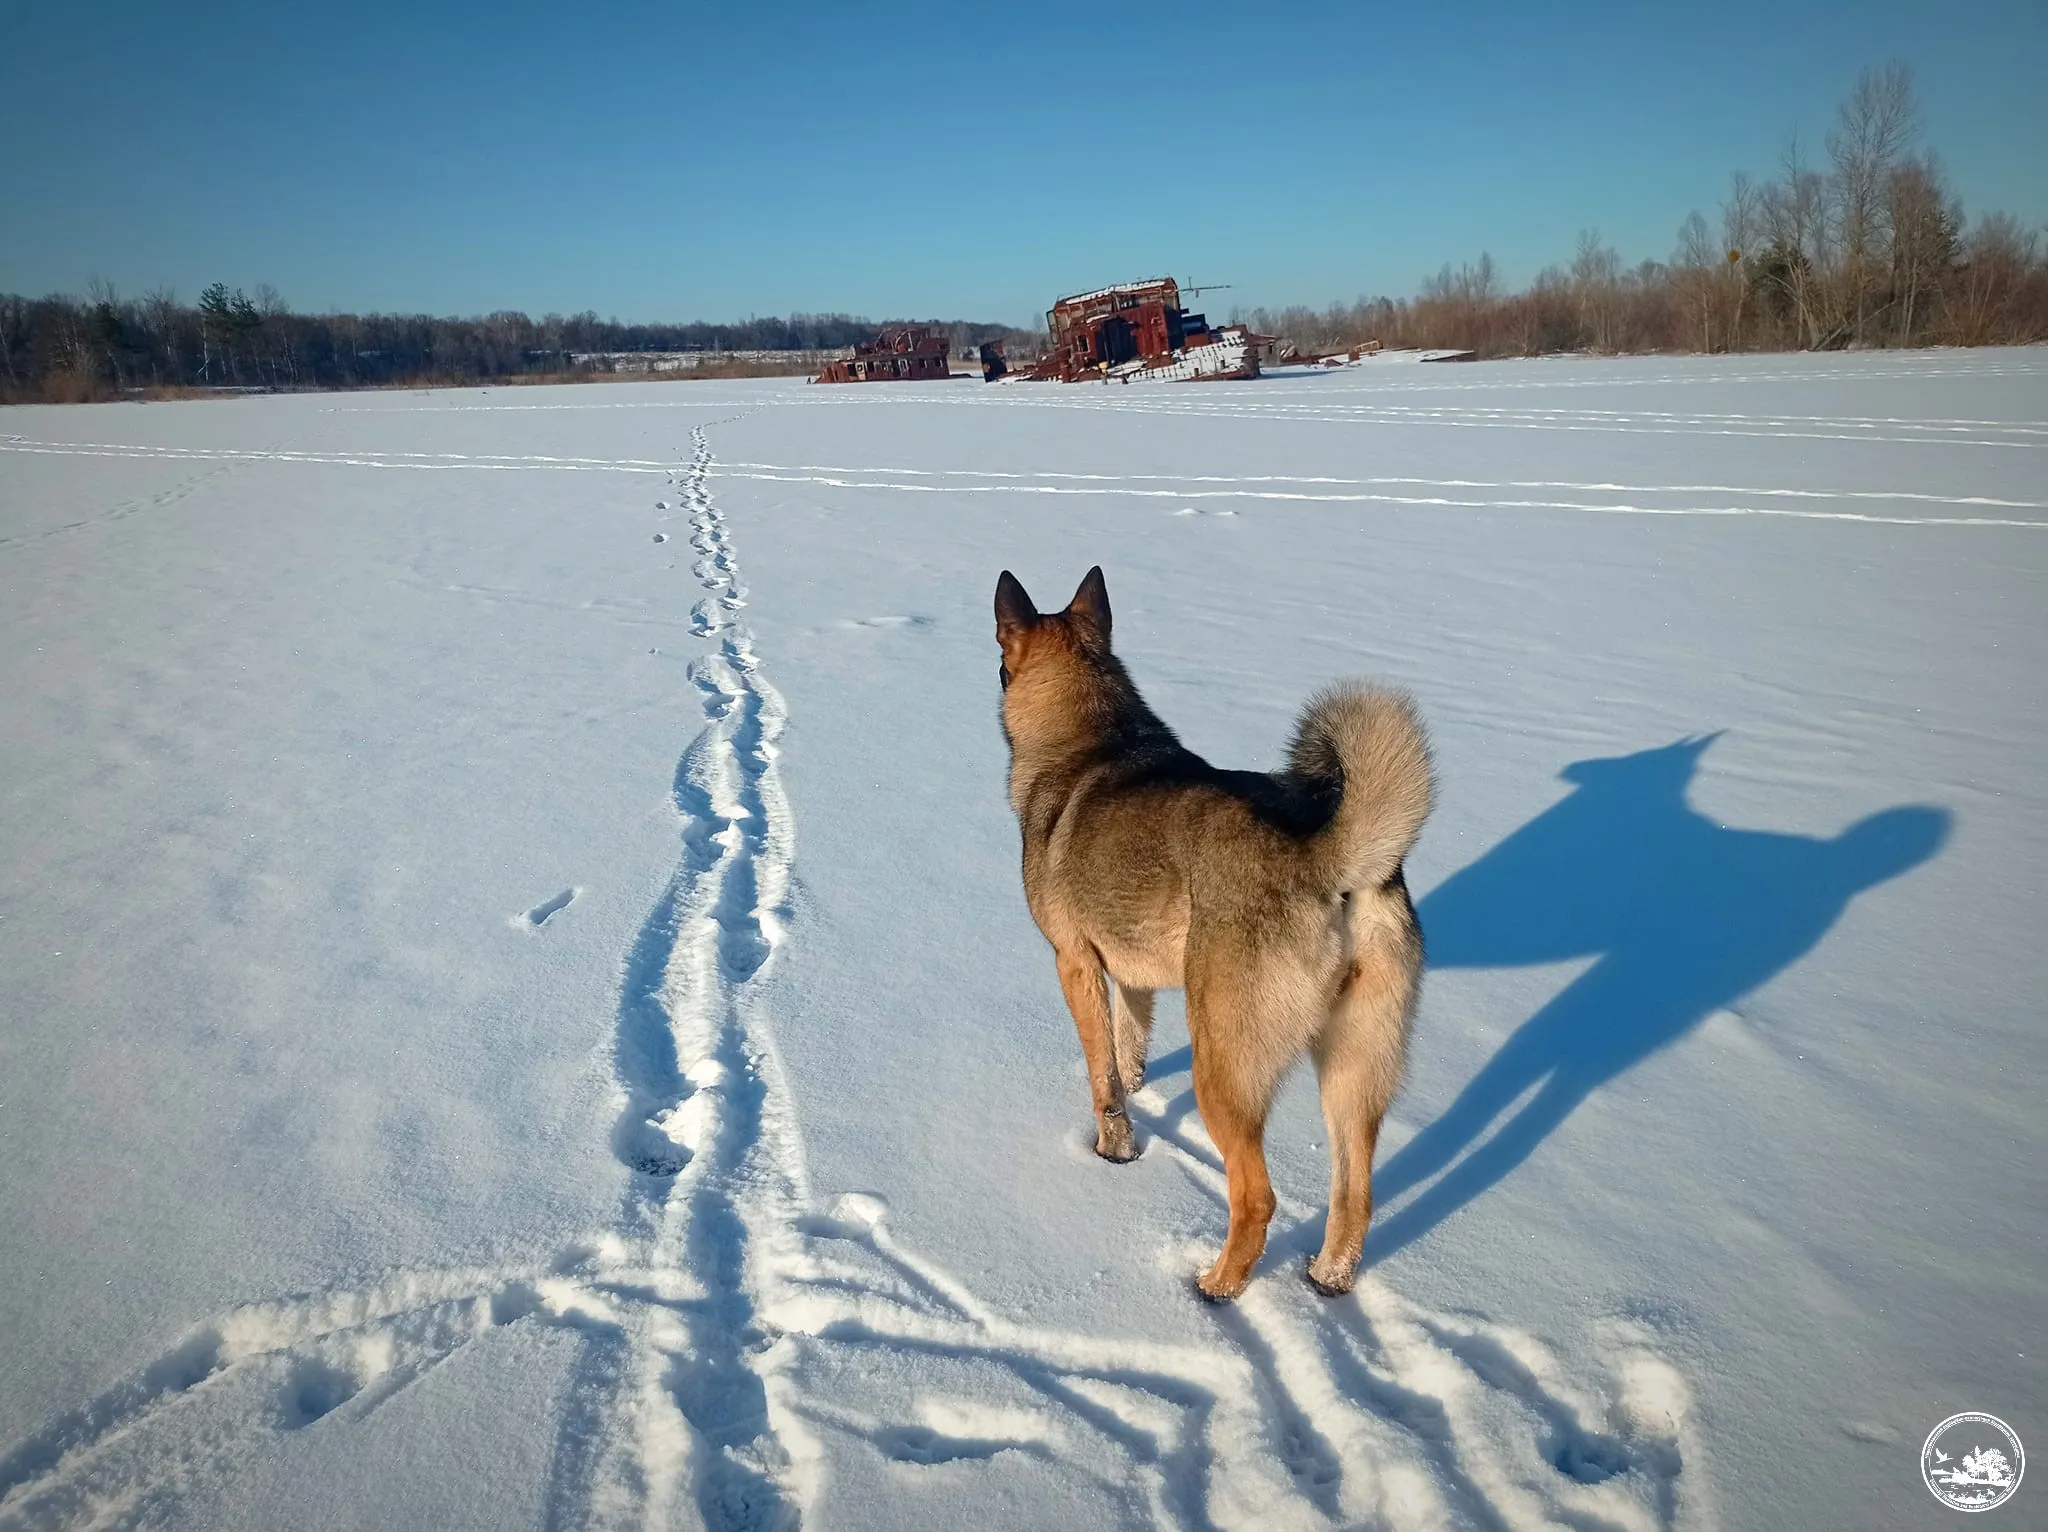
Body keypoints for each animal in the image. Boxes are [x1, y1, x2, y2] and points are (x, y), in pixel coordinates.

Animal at [991, 569, 1425, 1302]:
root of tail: (1327, 860)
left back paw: (1216, 1287)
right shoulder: (1131, 973)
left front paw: (1114, 1152)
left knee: (1257, 1197)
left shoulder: (1074, 962)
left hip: (1224, 1066)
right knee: (1356, 1194)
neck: (1092, 738)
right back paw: (1326, 1280)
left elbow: (1103, 1078)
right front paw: (1137, 1092)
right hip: (1354, 1069)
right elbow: (1129, 1050)